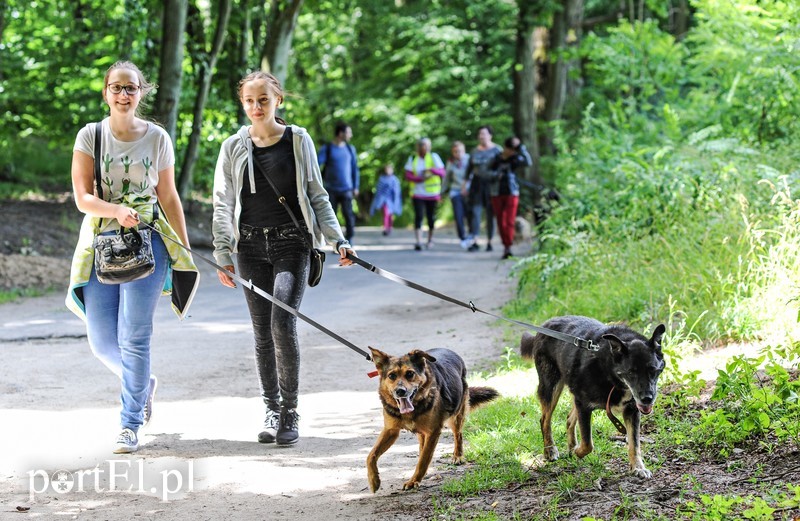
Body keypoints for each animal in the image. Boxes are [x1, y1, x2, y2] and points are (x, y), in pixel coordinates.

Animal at [368, 346, 500, 492]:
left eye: (410, 374)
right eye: (391, 376)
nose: (400, 391)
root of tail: (449, 350)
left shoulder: (433, 431)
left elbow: (424, 460)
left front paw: (413, 481)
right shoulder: (390, 430)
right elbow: (371, 455)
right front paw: (374, 481)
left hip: (456, 416)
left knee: (458, 435)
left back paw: (458, 456)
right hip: (422, 431)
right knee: (422, 445)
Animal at [520, 314, 668, 478]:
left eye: (653, 370)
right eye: (631, 372)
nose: (647, 399)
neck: (610, 372)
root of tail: (545, 325)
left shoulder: (631, 411)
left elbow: (634, 444)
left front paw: (638, 467)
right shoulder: (584, 406)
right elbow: (588, 443)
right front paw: (577, 452)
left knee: (568, 419)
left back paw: (570, 446)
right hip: (551, 388)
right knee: (545, 420)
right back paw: (550, 450)